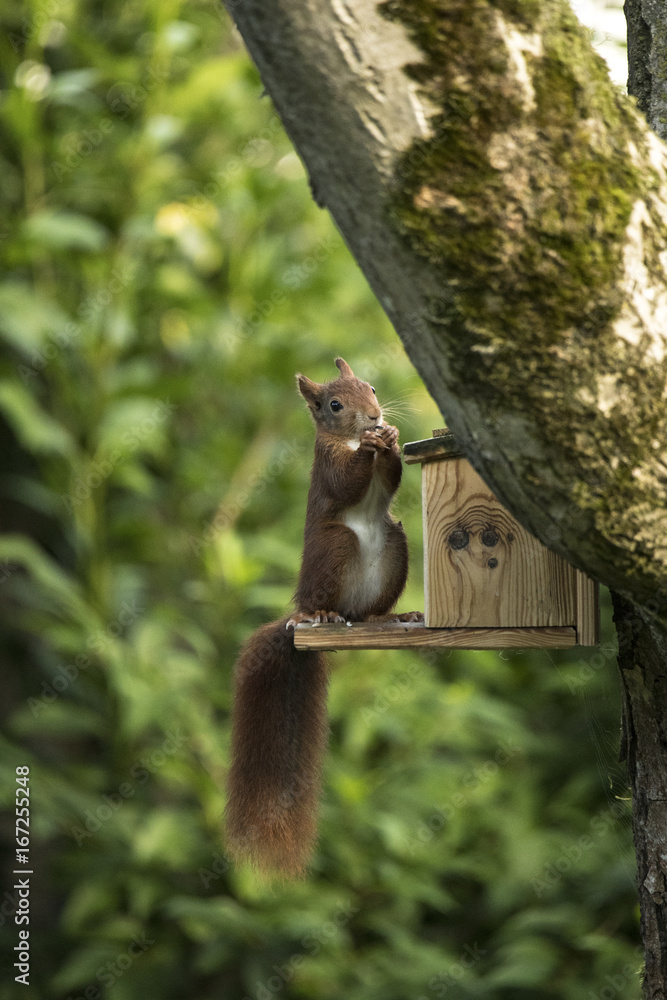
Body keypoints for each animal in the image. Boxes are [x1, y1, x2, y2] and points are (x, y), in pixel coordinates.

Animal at [225, 357, 421, 878]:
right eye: (333, 405)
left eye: (371, 387)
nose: (374, 417)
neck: (350, 441)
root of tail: (300, 615)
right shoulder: (328, 463)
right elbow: (346, 481)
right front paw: (373, 447)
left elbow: (391, 477)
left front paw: (391, 438)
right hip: (336, 546)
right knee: (331, 594)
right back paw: (327, 613)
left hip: (395, 544)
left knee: (368, 611)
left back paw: (386, 619)